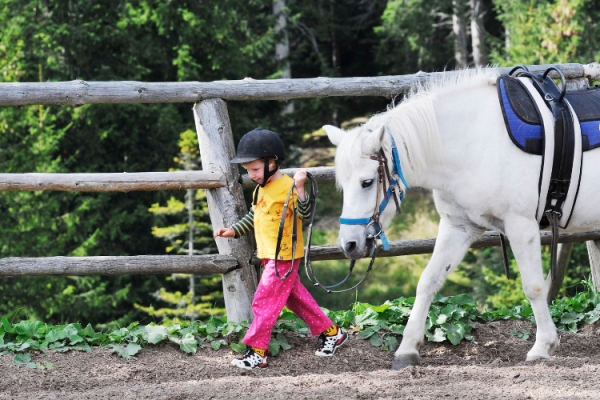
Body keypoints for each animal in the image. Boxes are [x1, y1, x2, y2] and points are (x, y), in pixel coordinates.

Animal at [326, 68, 600, 368]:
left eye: (367, 182)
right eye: (341, 184)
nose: (349, 245)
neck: (473, 141)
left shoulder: (521, 226)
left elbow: (534, 287)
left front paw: (542, 346)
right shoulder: (459, 227)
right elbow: (428, 281)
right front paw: (407, 349)